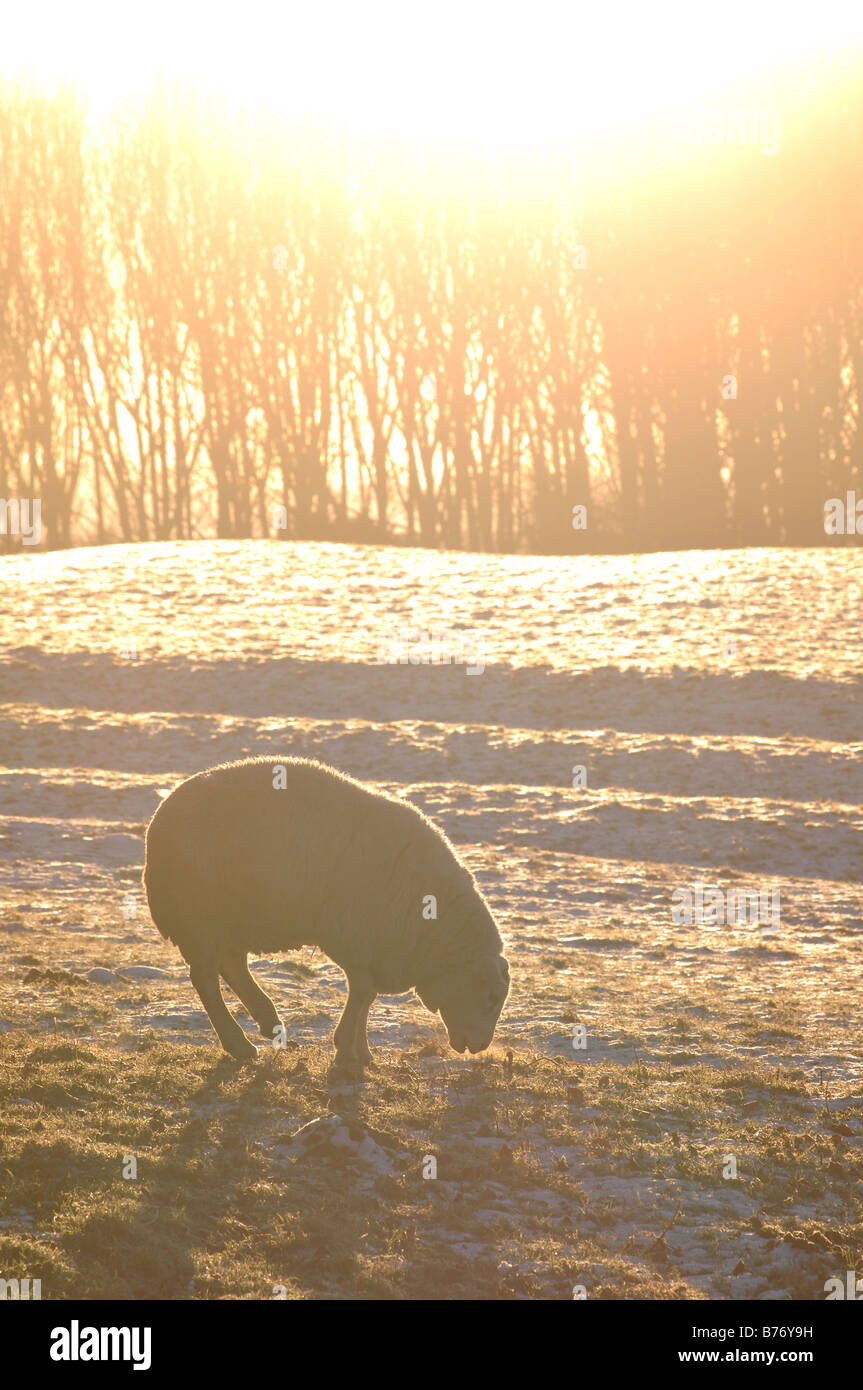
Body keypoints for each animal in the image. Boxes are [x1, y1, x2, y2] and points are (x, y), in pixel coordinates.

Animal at [138, 761, 508, 1061]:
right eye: (490, 997)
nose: (480, 1047)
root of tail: (156, 825)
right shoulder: (355, 938)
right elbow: (363, 993)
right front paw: (348, 1048)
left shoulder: (373, 949)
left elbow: (366, 996)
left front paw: (361, 1051)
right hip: (201, 916)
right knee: (205, 979)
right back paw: (240, 1044)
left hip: (232, 918)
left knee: (232, 966)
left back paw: (268, 1022)